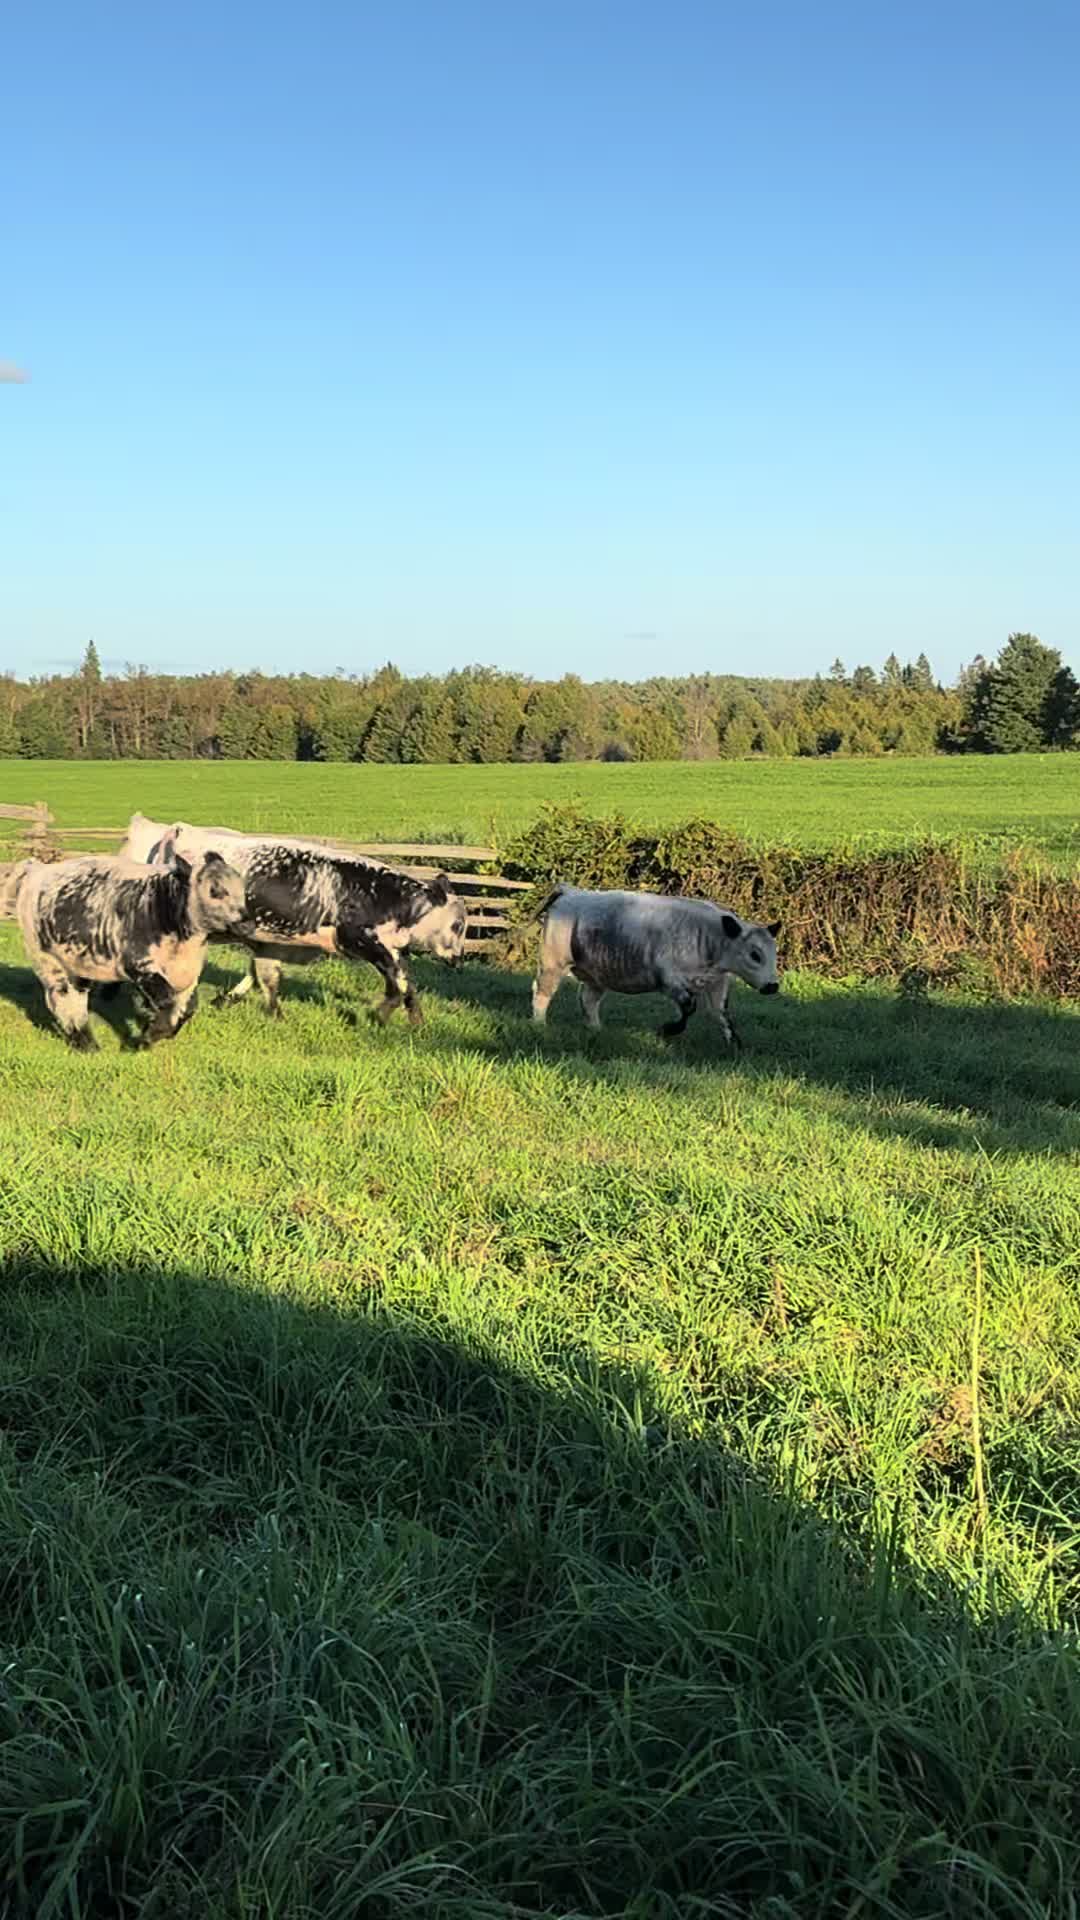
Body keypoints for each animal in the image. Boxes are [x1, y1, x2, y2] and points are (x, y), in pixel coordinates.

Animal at [0, 849, 252, 1050]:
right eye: (215, 890)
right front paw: (147, 1038)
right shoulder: (141, 966)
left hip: (77, 964)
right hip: (48, 961)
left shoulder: (188, 976)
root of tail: (38, 870)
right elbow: (168, 1002)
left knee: (77, 998)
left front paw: (158, 1033)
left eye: (241, 888)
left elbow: (187, 1008)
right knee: (62, 1000)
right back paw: (86, 1045)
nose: (247, 922)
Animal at [118, 814, 468, 1026]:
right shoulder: (362, 940)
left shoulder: (272, 941)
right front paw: (377, 1016)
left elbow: (265, 976)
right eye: (457, 925)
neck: (377, 896)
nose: (458, 959)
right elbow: (398, 984)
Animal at [530, 885, 781, 1048]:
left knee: (588, 1001)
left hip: (596, 975)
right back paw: (539, 1025)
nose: (773, 986)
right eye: (755, 955)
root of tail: (570, 891)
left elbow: (722, 1015)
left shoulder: (717, 983)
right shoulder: (670, 981)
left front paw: (734, 1043)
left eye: (774, 953)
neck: (708, 937)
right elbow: (689, 1007)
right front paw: (668, 1029)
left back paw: (596, 1030)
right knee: (542, 993)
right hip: (553, 964)